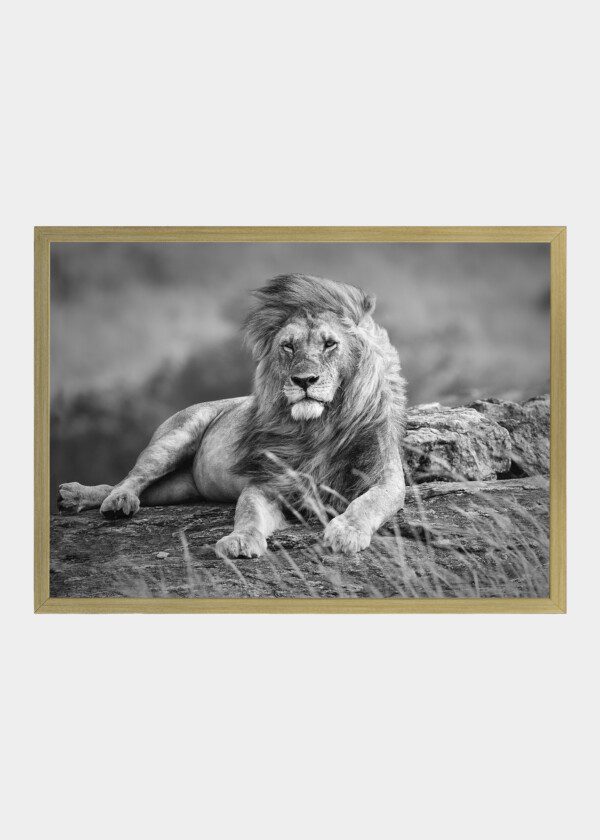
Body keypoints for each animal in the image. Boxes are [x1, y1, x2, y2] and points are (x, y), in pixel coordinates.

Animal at [58, 274, 407, 557]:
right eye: (288, 346)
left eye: (330, 344)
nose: (304, 380)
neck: (318, 426)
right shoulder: (267, 482)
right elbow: (249, 511)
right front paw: (240, 540)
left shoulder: (385, 477)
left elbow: (369, 502)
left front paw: (346, 531)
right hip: (173, 438)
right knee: (131, 478)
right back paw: (107, 500)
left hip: (178, 488)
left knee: (132, 487)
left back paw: (78, 497)